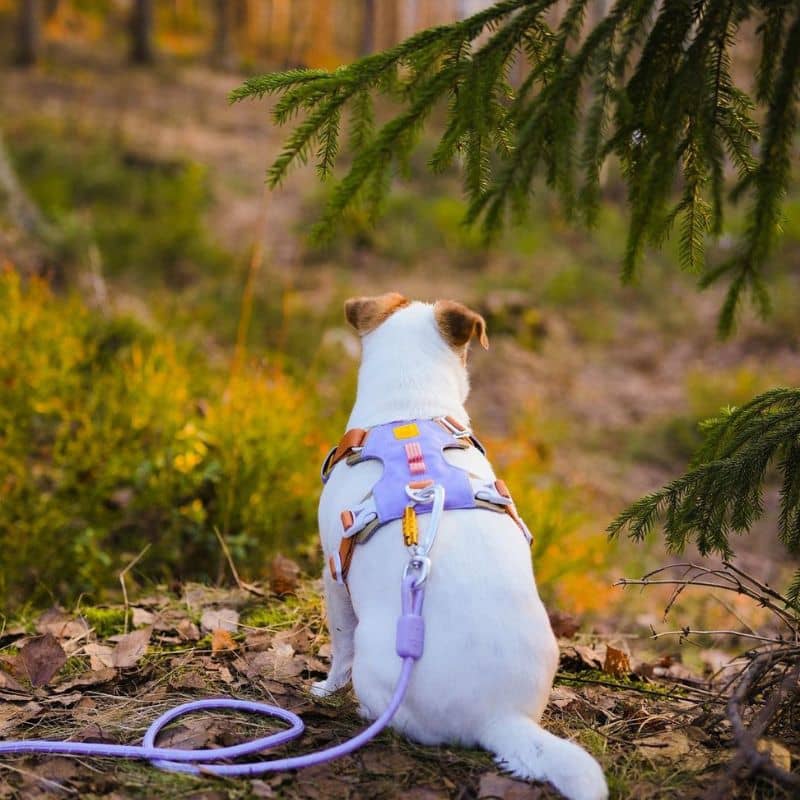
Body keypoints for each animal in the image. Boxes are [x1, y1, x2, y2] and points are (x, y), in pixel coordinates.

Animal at [312, 294, 608, 800]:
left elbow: (339, 650)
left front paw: (327, 689)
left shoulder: (334, 575)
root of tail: (498, 715)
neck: (409, 407)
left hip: (379, 661)